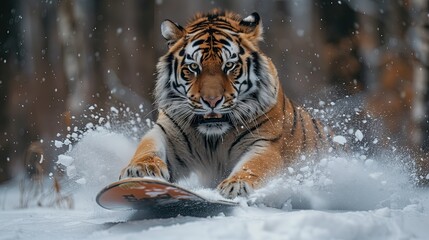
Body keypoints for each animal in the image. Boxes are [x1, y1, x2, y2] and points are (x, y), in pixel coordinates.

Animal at [118, 10, 330, 199]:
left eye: (229, 65)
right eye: (194, 67)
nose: (212, 101)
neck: (212, 139)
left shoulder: (267, 142)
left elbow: (255, 164)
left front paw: (237, 185)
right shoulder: (167, 132)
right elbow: (147, 147)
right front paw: (141, 169)